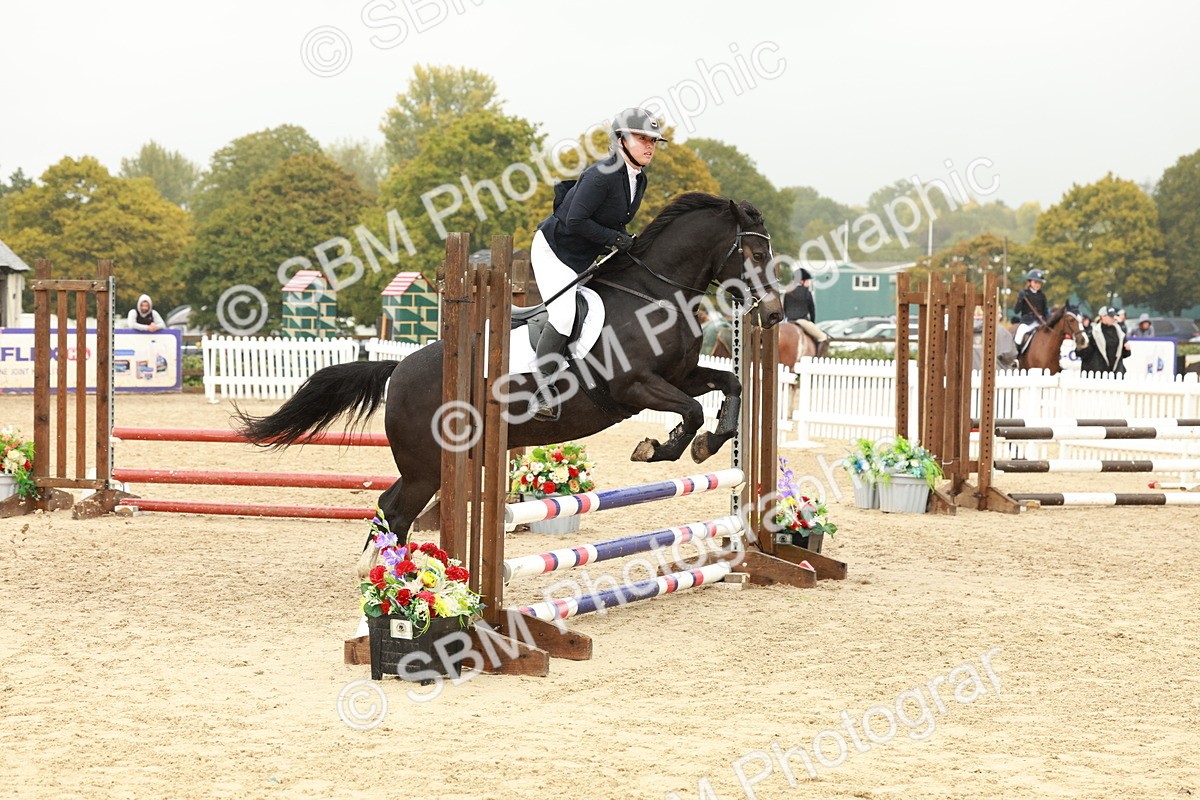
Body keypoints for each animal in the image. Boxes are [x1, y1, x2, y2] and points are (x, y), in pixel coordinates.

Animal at [235, 194, 784, 544]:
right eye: (757, 252)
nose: (777, 314)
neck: (655, 293)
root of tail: (399, 368)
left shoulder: (679, 375)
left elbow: (730, 384)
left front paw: (710, 443)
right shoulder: (635, 386)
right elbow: (691, 410)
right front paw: (660, 447)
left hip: (433, 464)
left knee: (390, 508)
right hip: (427, 464)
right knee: (395, 510)